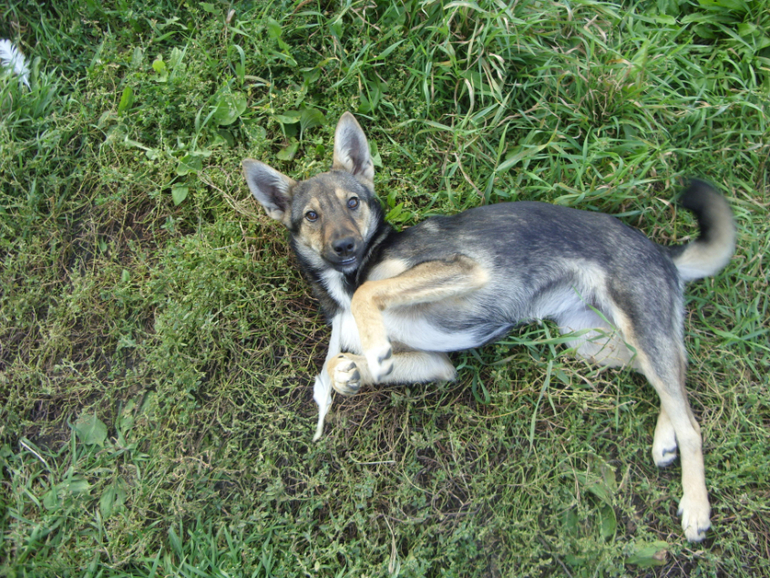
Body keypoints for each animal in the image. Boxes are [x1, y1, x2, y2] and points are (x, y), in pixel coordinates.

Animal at [242, 112, 735, 542]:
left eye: (353, 203)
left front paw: (372, 351)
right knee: (674, 376)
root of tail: (663, 251)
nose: (345, 245)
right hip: (586, 340)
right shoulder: (438, 363)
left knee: (691, 418)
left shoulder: (462, 270)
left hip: (634, 325)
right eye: (311, 216)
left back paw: (695, 507)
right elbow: (344, 363)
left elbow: (371, 295)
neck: (349, 274)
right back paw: (665, 438)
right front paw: (352, 372)